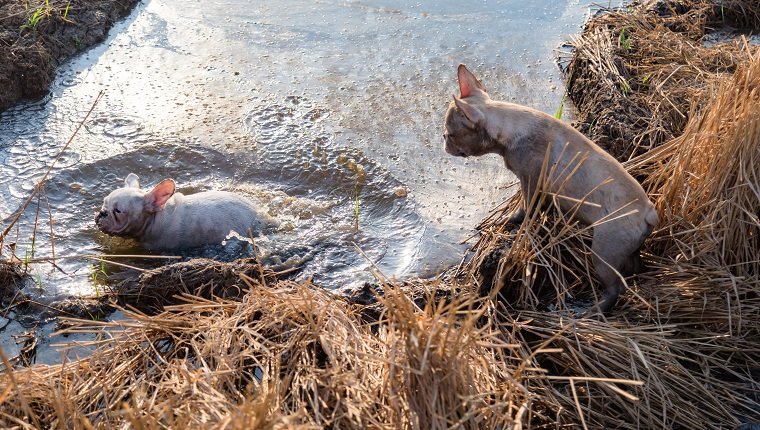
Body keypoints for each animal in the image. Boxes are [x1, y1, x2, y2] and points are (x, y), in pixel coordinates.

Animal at [446, 63, 660, 312]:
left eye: (451, 134)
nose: (444, 142)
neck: (505, 123)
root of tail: (648, 212)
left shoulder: (530, 180)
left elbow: (525, 207)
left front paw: (512, 221)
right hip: (629, 247)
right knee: (634, 264)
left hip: (604, 251)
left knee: (614, 288)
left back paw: (594, 310)